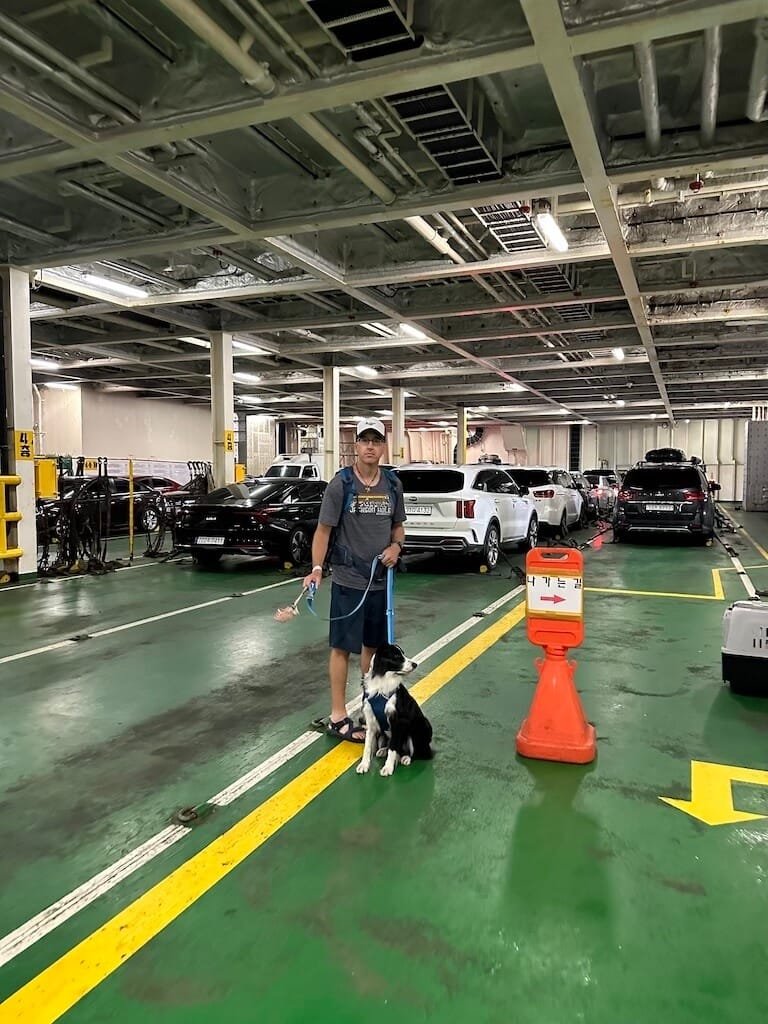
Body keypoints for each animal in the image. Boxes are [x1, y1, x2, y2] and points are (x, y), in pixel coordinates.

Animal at [356, 643, 434, 778]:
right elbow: (367, 746)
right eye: (397, 657)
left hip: (419, 730)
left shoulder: (399, 721)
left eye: (403, 654)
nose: (415, 664)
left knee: (419, 753)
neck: (382, 681)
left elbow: (393, 747)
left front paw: (388, 767)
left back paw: (406, 758)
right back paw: (383, 750)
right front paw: (364, 765)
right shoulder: (370, 722)